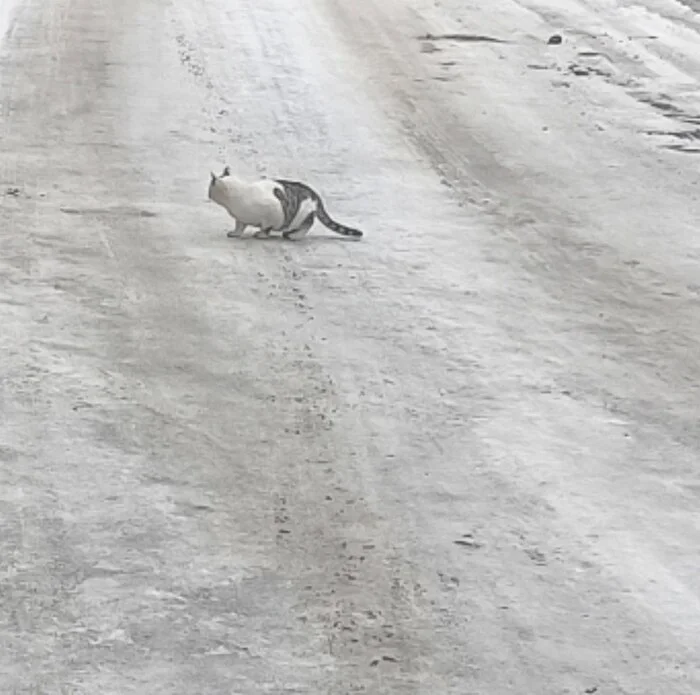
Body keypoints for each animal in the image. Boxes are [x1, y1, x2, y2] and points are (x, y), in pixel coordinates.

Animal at [206, 167, 364, 241]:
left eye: (209, 188)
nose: (207, 194)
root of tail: (314, 194)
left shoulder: (273, 213)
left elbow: (266, 227)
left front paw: (261, 234)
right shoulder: (240, 218)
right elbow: (239, 226)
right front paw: (236, 233)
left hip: (302, 214)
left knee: (307, 224)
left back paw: (294, 236)